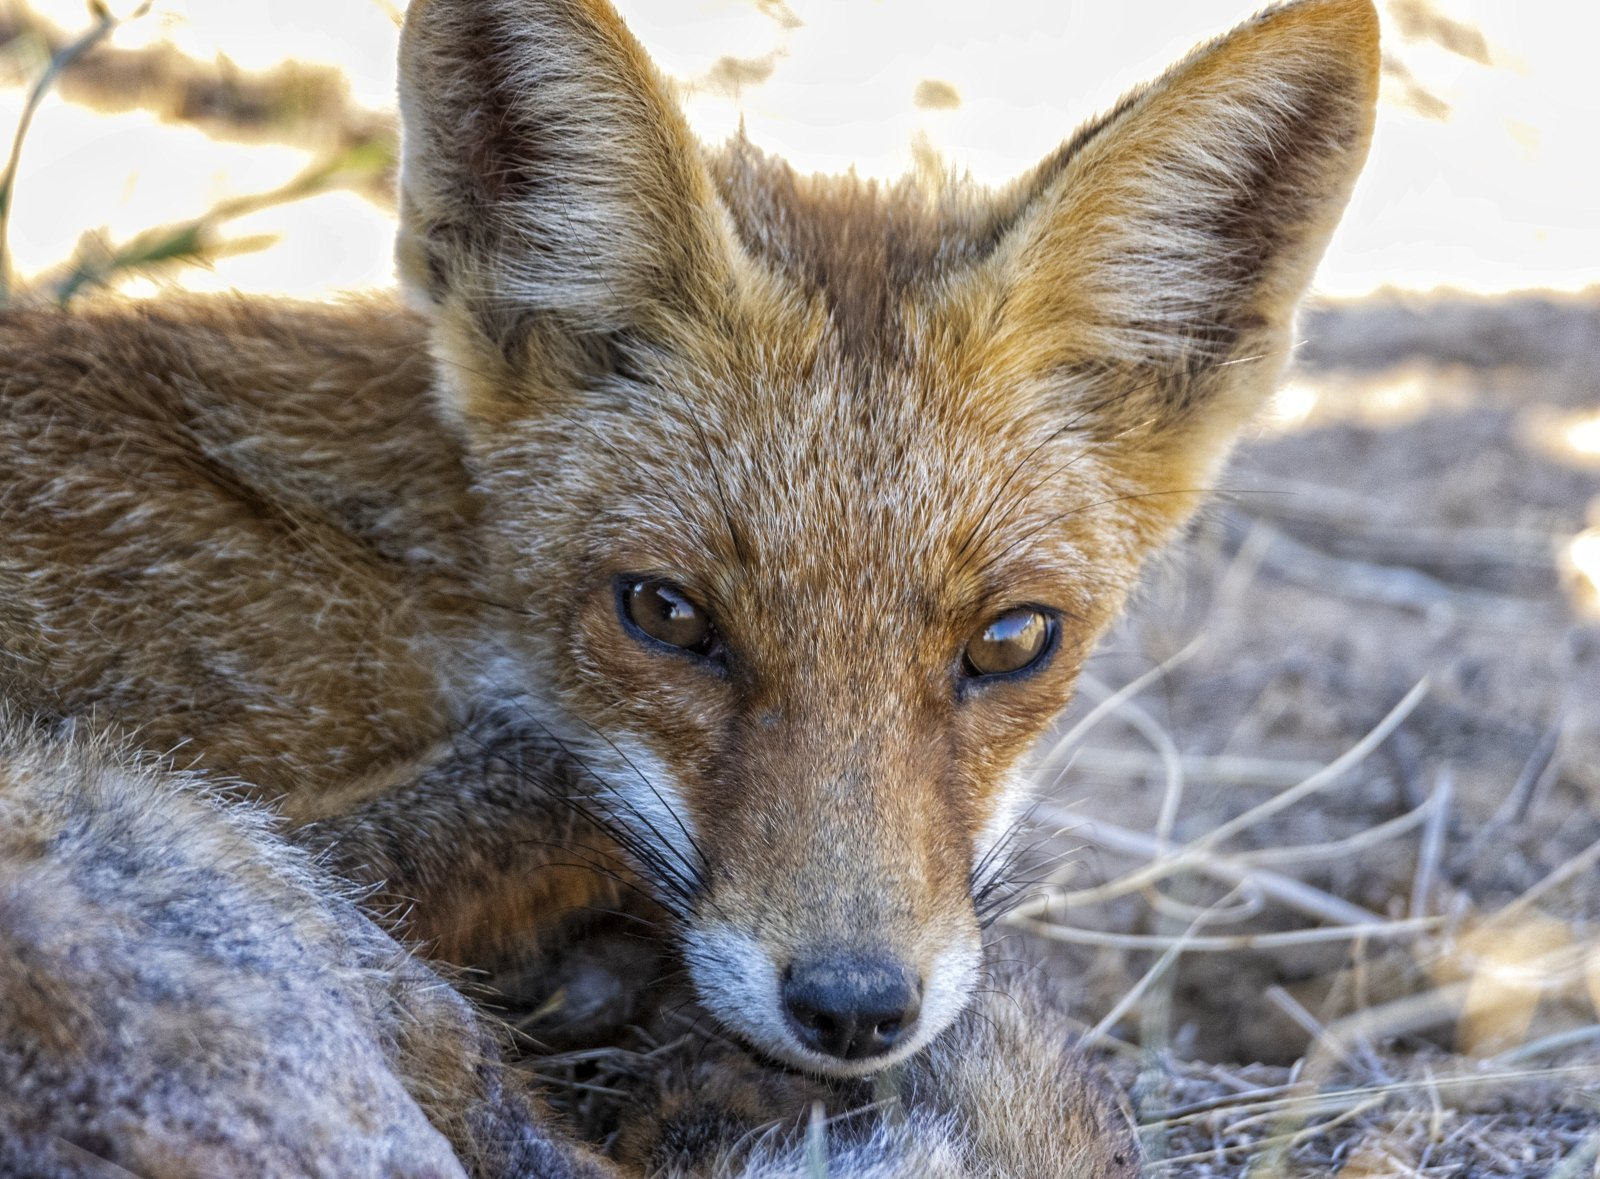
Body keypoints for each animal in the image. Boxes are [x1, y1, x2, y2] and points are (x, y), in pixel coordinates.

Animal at [0, 0, 1376, 1164]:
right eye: (663, 615)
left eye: (1011, 641)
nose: (852, 1009)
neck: (424, 581)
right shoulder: (300, 821)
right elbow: (544, 787)